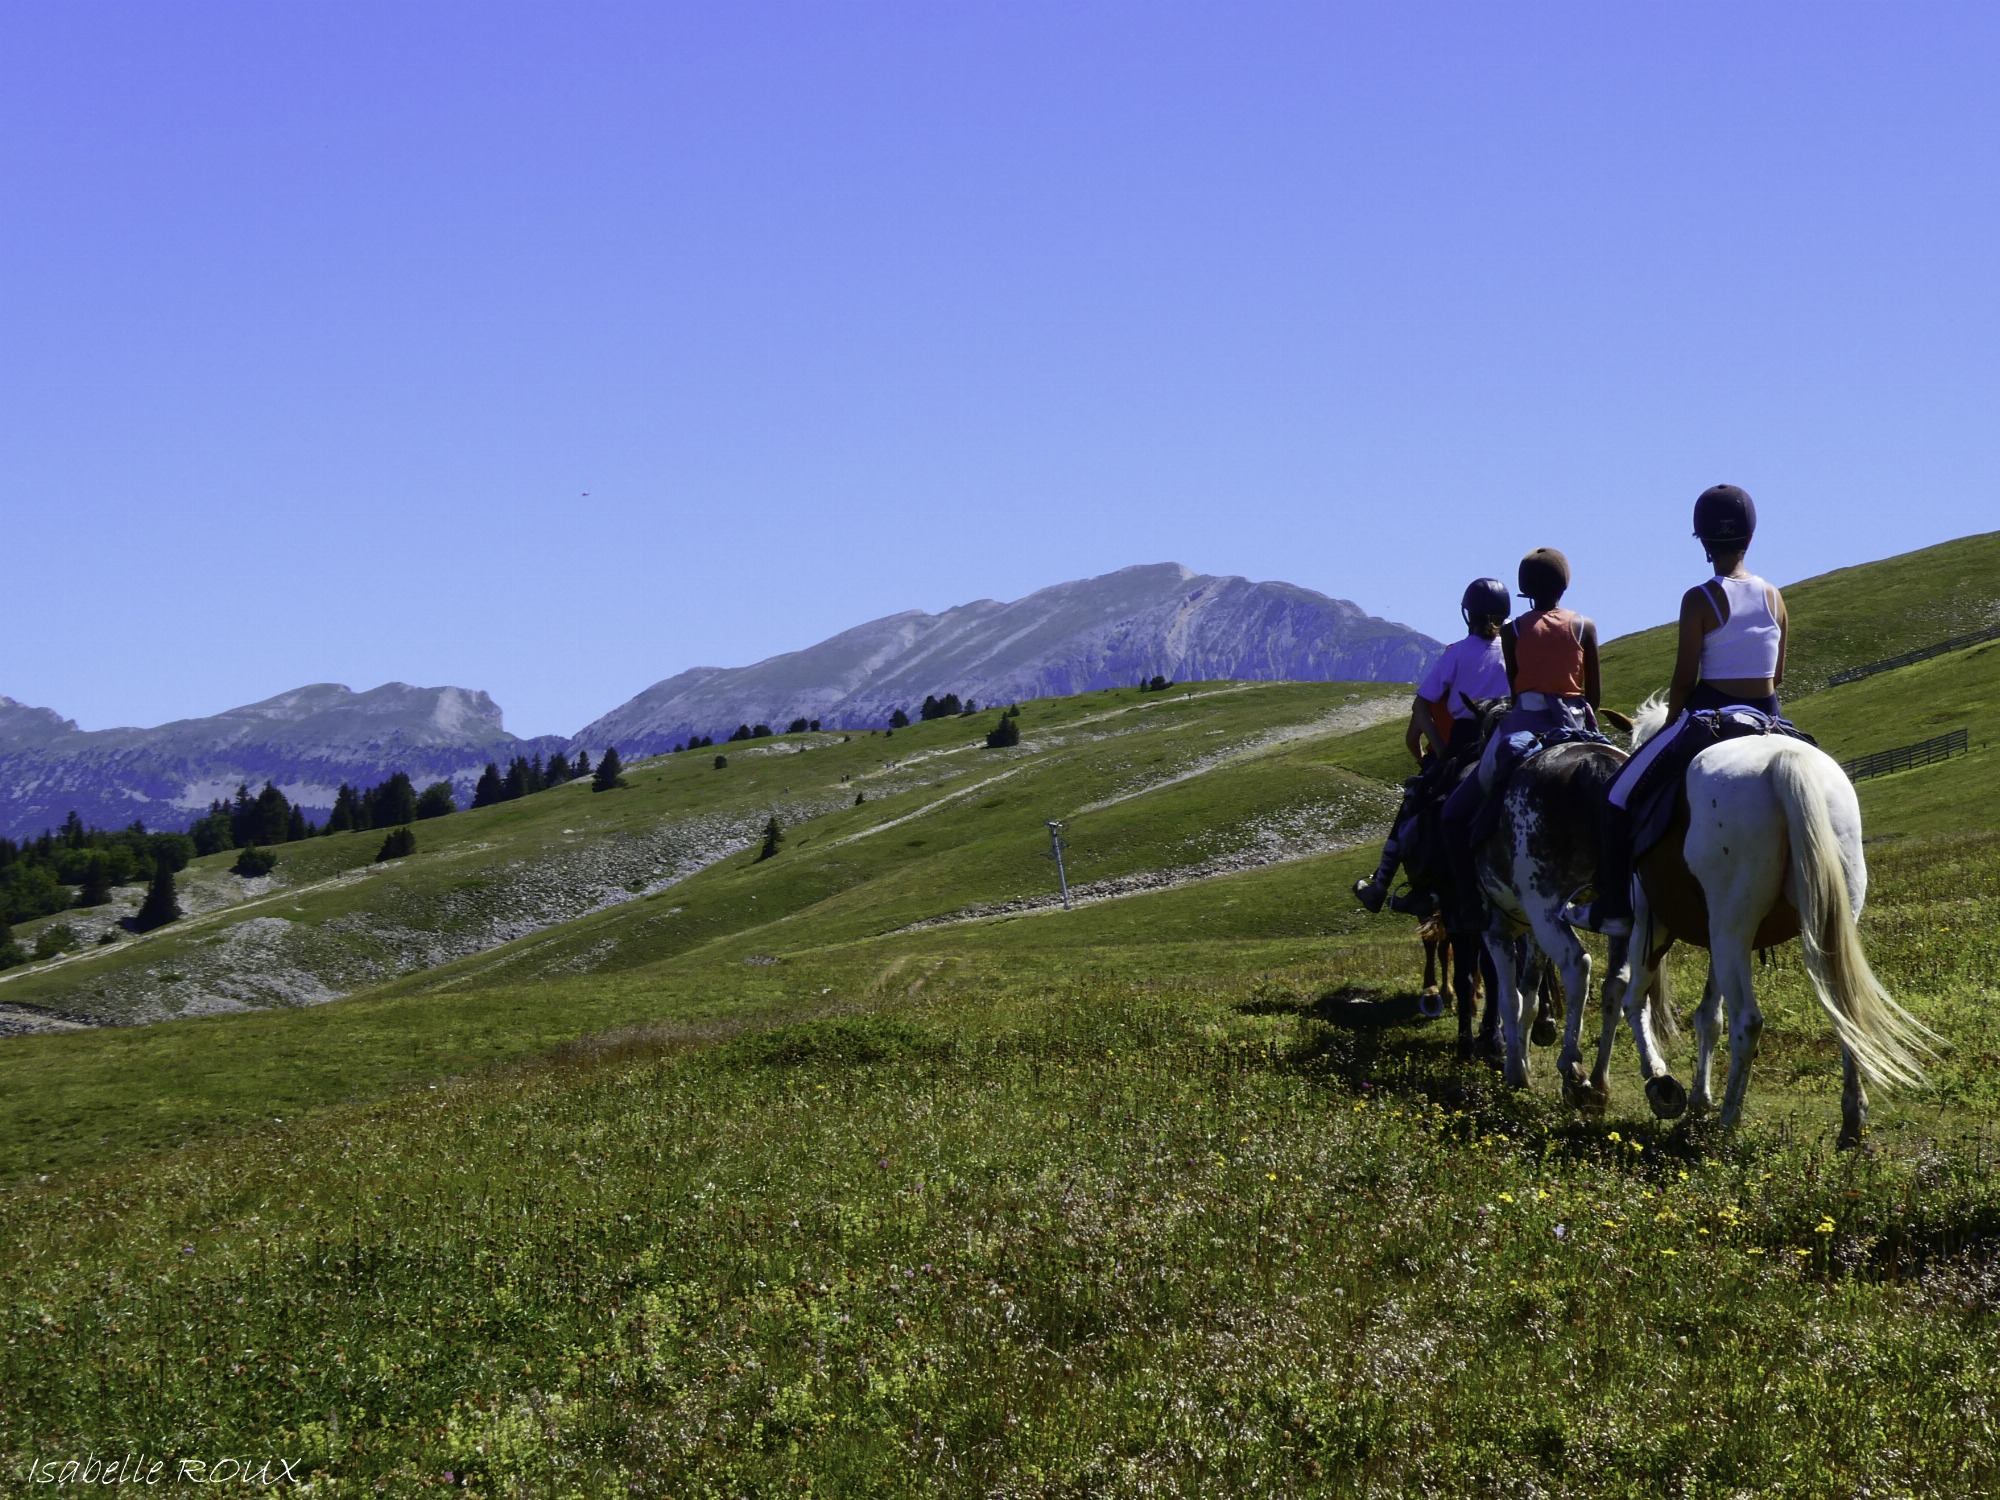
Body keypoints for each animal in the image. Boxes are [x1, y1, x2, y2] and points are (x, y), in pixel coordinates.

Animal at [1613, 695, 1934, 1148]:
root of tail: (1784, 761)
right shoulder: (1711, 938)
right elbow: (1708, 1017)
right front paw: (1697, 1100)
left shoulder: (1650, 923)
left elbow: (1635, 1000)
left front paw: (1662, 1085)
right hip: (1802, 926)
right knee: (1844, 1009)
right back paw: (1851, 1122)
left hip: (1728, 930)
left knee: (1748, 1021)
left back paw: (1728, 1121)